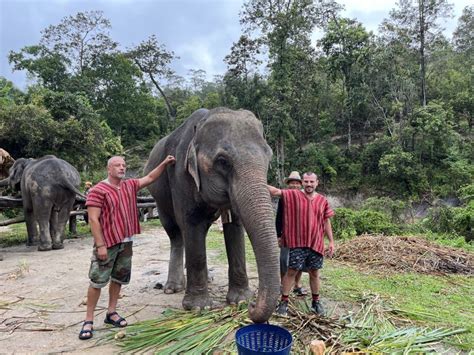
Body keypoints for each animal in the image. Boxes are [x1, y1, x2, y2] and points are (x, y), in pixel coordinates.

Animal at [144, 107, 282, 324]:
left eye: (268, 156)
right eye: (223, 161)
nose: (253, 306)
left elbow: (235, 226)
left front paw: (240, 301)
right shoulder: (180, 176)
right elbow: (192, 224)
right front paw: (198, 308)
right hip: (159, 197)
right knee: (175, 233)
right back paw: (173, 287)